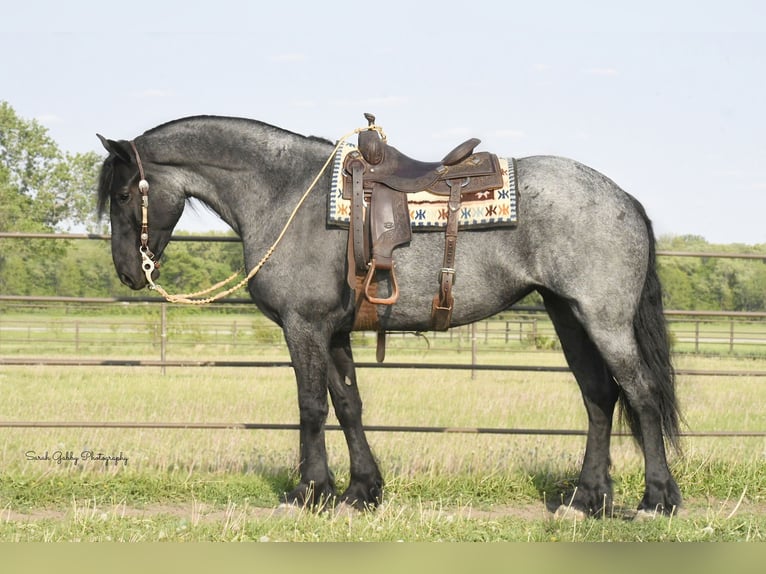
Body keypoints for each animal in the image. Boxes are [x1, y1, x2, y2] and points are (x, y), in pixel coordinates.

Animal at [97, 115, 684, 520]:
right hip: (569, 316)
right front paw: (360, 492)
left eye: (124, 193)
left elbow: (311, 407)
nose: (128, 271)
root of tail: (623, 198)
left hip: (603, 319)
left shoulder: (304, 327)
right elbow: (348, 405)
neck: (285, 193)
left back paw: (656, 501)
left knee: (640, 394)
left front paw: (308, 493)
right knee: (599, 398)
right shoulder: (332, 332)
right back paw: (586, 501)